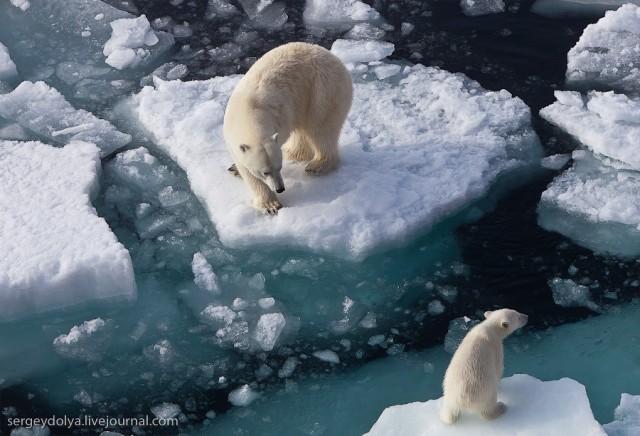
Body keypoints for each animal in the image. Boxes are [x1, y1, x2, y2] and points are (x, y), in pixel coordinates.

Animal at [222, 41, 352, 215]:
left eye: (279, 167)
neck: (248, 111)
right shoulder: (231, 138)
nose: (280, 189)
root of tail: (337, 60)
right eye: (265, 172)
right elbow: (247, 169)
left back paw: (317, 166)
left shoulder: (281, 117)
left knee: (321, 129)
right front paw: (237, 169)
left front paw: (271, 206)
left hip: (323, 91)